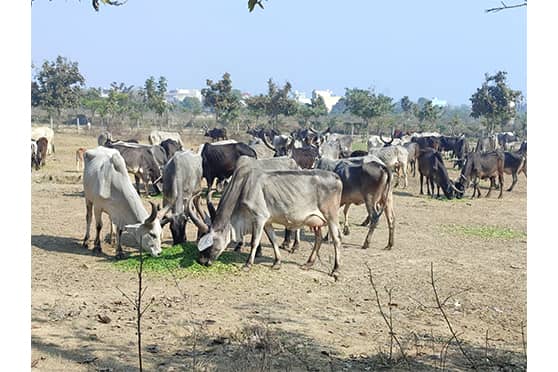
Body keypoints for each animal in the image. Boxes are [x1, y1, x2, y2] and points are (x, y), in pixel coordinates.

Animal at [189, 167, 346, 278]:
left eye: (210, 243)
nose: (201, 261)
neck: (244, 186)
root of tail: (336, 176)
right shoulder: (267, 221)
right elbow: (273, 240)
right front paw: (277, 263)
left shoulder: (259, 218)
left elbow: (254, 242)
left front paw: (248, 264)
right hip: (316, 222)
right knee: (318, 239)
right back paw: (308, 263)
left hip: (331, 217)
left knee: (337, 240)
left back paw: (336, 269)